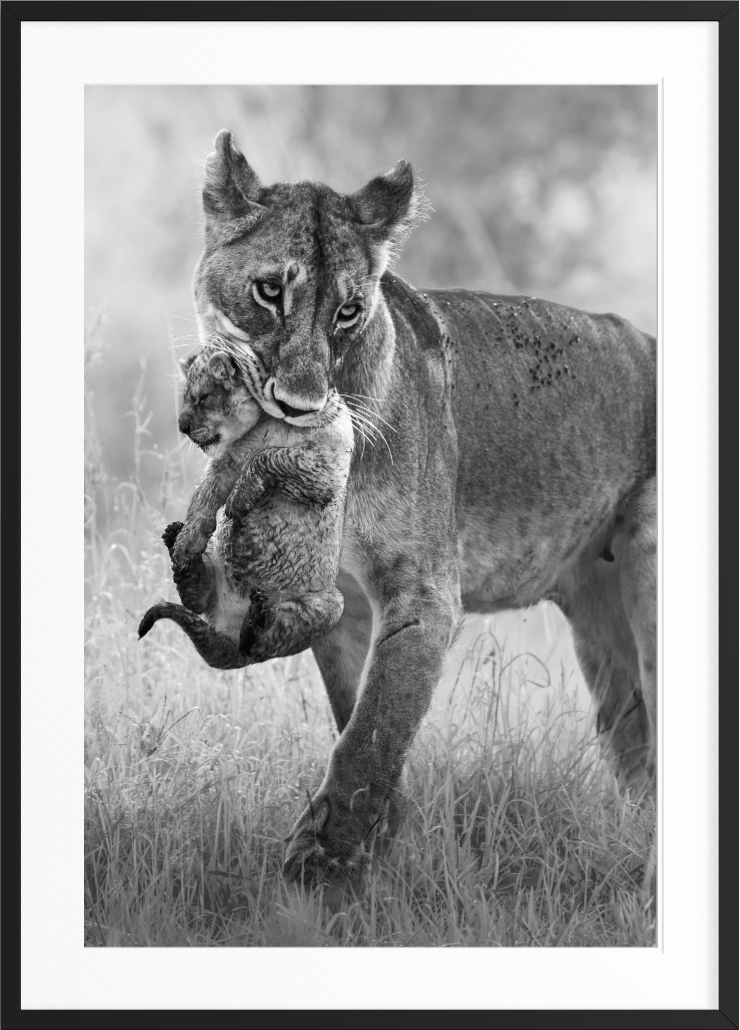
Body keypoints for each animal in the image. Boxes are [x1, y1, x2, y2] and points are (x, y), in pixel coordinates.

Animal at [138, 347, 354, 668]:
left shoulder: (325, 468)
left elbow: (270, 456)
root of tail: (230, 638)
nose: (182, 428)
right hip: (214, 566)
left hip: (332, 605)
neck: (269, 420)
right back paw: (177, 546)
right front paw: (187, 542)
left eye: (203, 398)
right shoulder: (225, 464)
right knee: (196, 601)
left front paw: (240, 501)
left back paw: (258, 618)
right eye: (186, 397)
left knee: (260, 644)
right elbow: (204, 497)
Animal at [191, 129, 656, 888]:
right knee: (637, 742)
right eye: (269, 291)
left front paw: (318, 867)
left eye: (348, 311)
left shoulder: (424, 594)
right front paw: (379, 849)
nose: (300, 407)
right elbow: (358, 716)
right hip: (600, 619)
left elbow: (375, 729)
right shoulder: (337, 603)